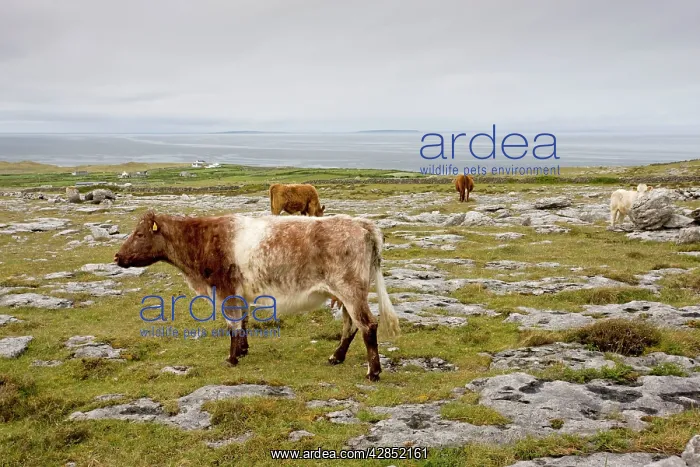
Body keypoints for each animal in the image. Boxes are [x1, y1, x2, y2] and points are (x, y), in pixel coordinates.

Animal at [114, 211, 400, 381]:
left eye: (139, 233)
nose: (117, 256)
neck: (200, 242)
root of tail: (362, 224)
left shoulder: (225, 291)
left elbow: (232, 325)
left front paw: (231, 359)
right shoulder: (239, 294)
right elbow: (243, 322)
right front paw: (242, 351)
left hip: (350, 289)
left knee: (367, 324)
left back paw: (373, 372)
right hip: (346, 293)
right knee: (350, 324)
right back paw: (336, 357)